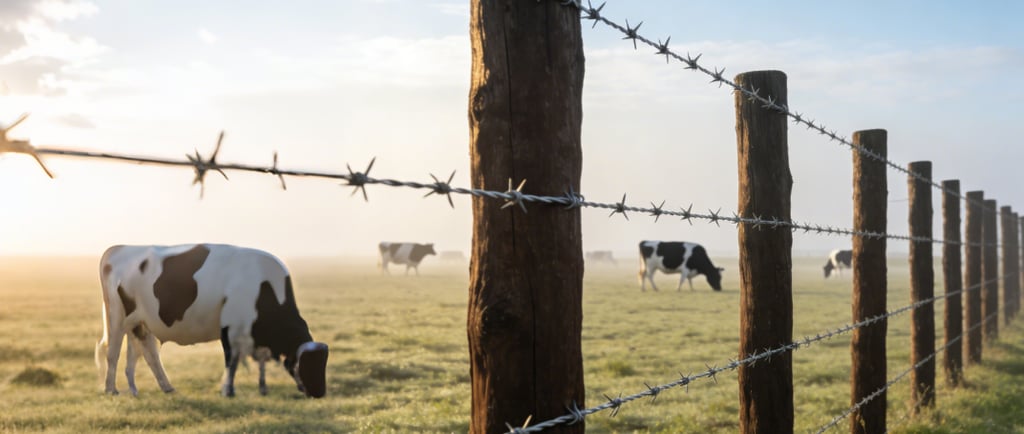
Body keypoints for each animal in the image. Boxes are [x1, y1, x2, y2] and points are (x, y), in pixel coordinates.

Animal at [95, 243, 329, 398]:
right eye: (307, 364)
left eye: (322, 364)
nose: (320, 393)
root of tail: (118, 248)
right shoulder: (231, 329)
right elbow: (232, 361)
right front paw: (228, 390)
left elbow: (260, 361)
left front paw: (263, 389)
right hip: (116, 317)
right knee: (113, 352)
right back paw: (111, 389)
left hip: (140, 323)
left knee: (144, 354)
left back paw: (149, 388)